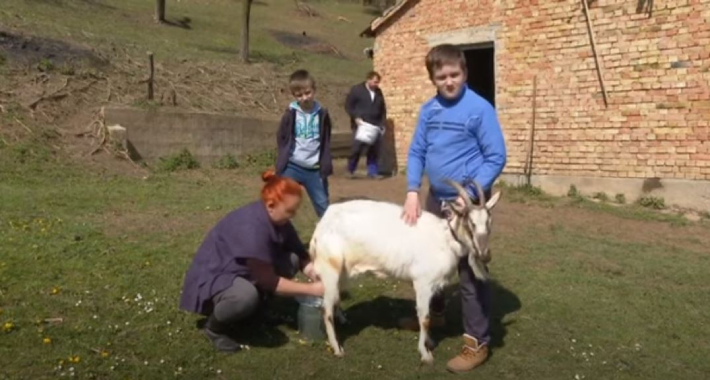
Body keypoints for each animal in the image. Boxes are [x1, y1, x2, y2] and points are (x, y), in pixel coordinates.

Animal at [310, 180, 500, 364]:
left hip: (343, 272)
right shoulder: (423, 283)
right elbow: (425, 318)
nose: (485, 255)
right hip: (330, 268)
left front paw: (429, 343)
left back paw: (343, 319)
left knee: (335, 298)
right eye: (470, 222)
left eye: (489, 223)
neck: (445, 238)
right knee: (326, 309)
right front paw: (426, 354)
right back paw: (337, 349)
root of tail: (323, 223)